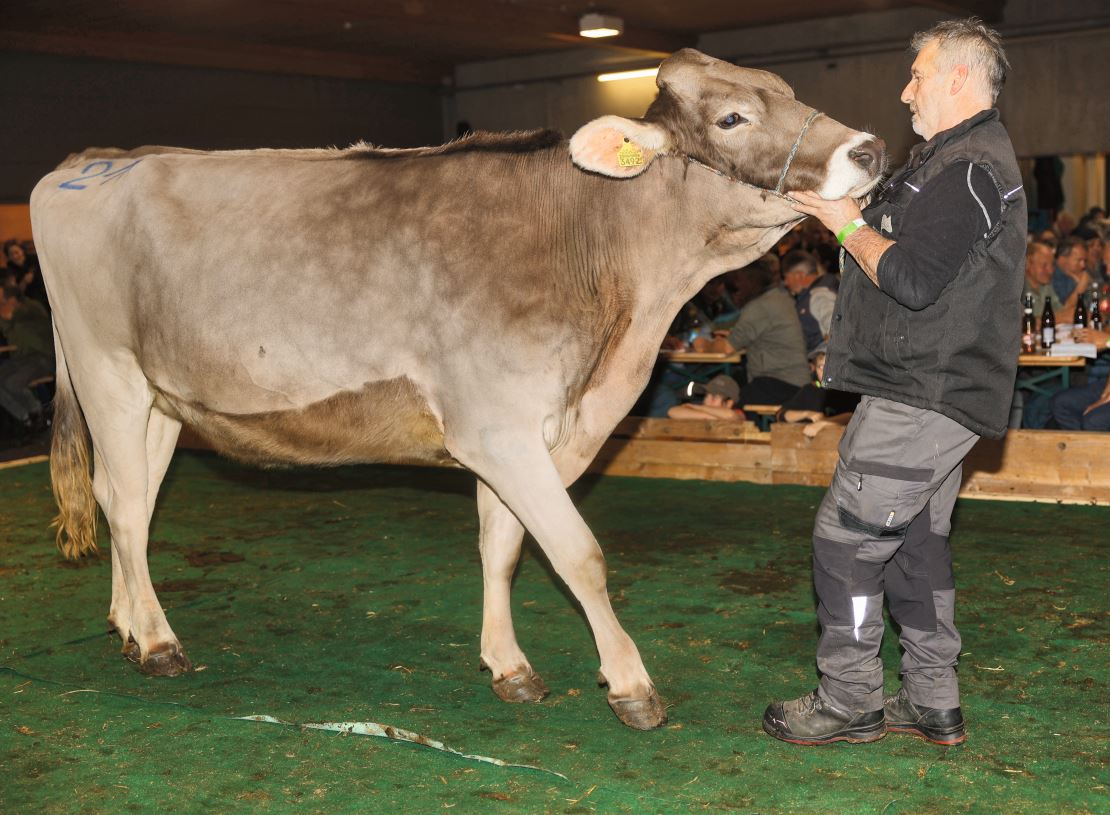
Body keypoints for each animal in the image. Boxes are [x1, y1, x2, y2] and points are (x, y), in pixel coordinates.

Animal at [30, 47, 879, 732]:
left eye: (786, 89)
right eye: (733, 117)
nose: (868, 147)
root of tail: (91, 161)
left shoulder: (518, 431)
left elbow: (502, 546)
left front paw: (509, 666)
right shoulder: (498, 429)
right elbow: (578, 553)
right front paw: (631, 685)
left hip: (164, 395)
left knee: (127, 495)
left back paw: (127, 622)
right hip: (106, 370)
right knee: (125, 503)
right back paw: (157, 641)